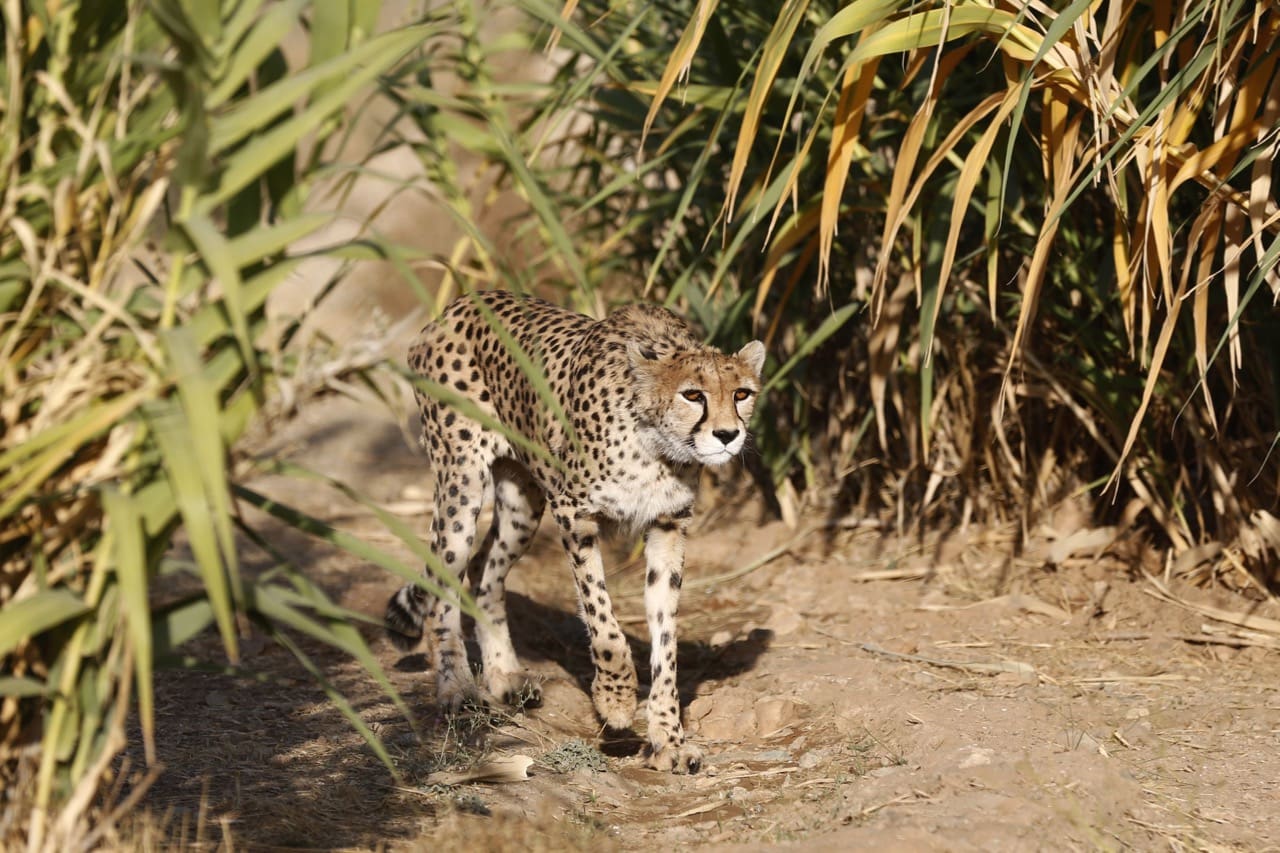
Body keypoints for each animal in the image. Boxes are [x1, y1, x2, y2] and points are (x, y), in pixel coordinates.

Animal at [378, 286, 757, 768]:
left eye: (742, 393)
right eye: (693, 395)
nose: (728, 435)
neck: (657, 446)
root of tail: (461, 302)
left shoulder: (667, 526)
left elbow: (665, 638)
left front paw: (668, 739)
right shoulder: (574, 515)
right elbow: (603, 621)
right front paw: (615, 700)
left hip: (522, 502)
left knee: (484, 570)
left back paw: (504, 676)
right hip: (461, 485)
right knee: (446, 579)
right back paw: (457, 688)